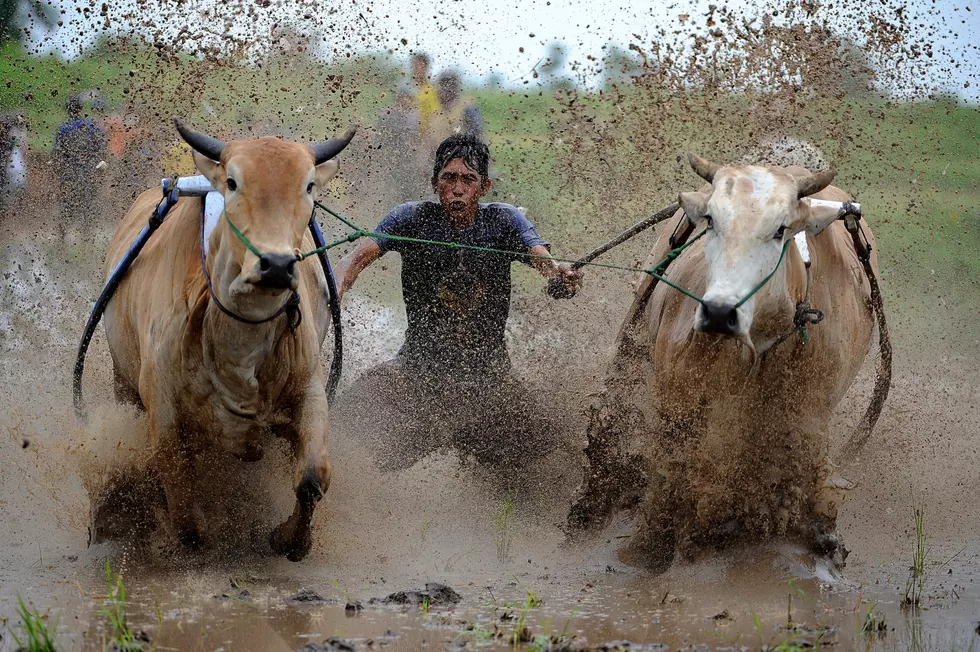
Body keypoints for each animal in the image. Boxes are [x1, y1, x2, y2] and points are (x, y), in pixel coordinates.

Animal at [103, 121, 354, 560]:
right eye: (233, 182)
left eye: (308, 186)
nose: (277, 264)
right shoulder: (160, 406)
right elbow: (180, 496)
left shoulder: (309, 389)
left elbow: (312, 478)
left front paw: (291, 540)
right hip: (123, 382)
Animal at [572, 154, 876, 572]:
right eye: (712, 220)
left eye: (781, 229)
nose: (718, 312)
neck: (760, 342)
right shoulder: (677, 404)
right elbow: (669, 474)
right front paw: (646, 549)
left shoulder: (808, 416)